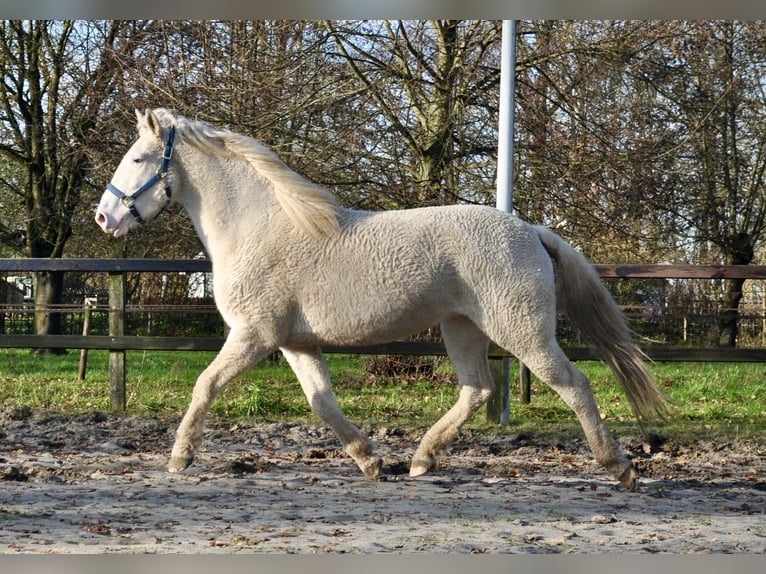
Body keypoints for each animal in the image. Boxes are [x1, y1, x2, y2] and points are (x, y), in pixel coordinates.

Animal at [97, 107, 672, 490]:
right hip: (461, 328)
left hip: (522, 332)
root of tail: (530, 229)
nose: (105, 218)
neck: (256, 226)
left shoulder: (253, 334)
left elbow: (205, 385)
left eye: (138, 157)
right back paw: (420, 460)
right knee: (477, 389)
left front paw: (179, 458)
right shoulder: (295, 343)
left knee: (572, 385)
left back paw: (620, 467)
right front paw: (369, 461)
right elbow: (323, 402)